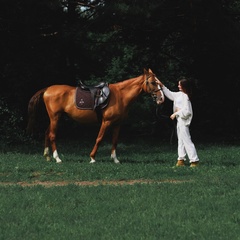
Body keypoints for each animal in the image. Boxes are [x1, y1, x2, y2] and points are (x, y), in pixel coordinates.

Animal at [27, 68, 164, 164]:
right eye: (153, 82)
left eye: (159, 82)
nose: (161, 99)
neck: (120, 96)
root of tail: (47, 89)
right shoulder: (106, 122)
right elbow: (99, 138)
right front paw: (92, 158)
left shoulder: (117, 124)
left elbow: (115, 140)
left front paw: (115, 159)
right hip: (55, 117)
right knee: (52, 135)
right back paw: (57, 158)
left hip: (54, 118)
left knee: (46, 133)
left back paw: (47, 156)